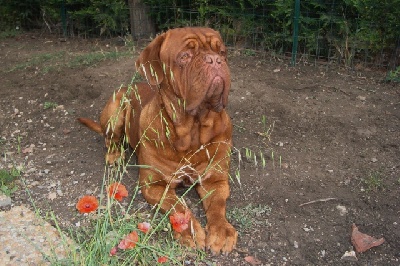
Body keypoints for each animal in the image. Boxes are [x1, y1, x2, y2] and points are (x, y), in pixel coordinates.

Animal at [76, 27, 236, 254]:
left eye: (222, 52)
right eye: (185, 56)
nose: (214, 60)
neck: (193, 131)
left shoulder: (215, 180)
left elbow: (217, 206)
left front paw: (221, 230)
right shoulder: (155, 185)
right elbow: (178, 206)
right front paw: (188, 230)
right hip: (117, 107)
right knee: (110, 140)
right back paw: (115, 155)